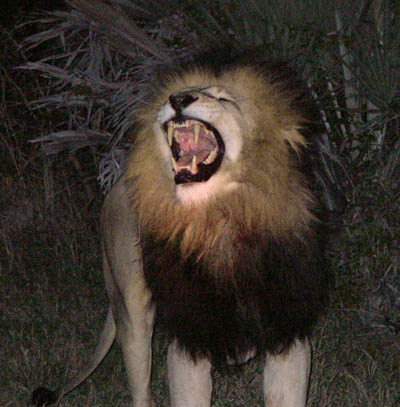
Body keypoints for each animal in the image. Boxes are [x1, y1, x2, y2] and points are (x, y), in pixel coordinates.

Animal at [32, 55, 338, 407]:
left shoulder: (287, 331)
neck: (222, 219)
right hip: (131, 305)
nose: (177, 99)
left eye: (224, 98)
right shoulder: (189, 335)